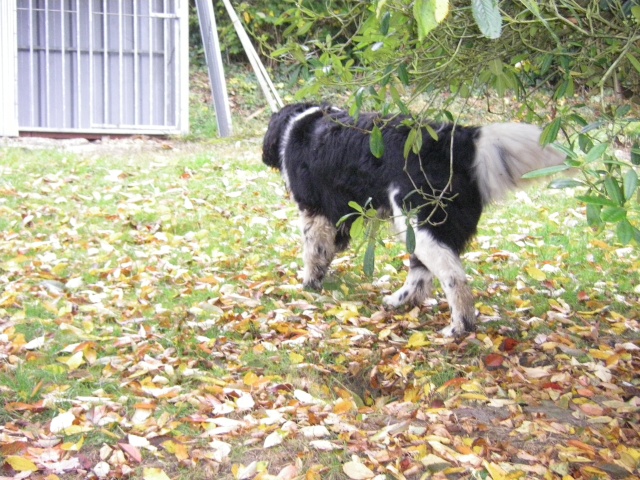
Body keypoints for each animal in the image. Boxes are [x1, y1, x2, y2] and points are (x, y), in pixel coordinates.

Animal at [262, 103, 564, 336]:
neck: (298, 122)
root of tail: (456, 141)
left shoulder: (313, 211)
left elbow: (313, 252)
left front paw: (308, 285)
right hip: (417, 227)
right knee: (422, 274)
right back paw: (399, 301)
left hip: (419, 222)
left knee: (452, 278)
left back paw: (459, 326)